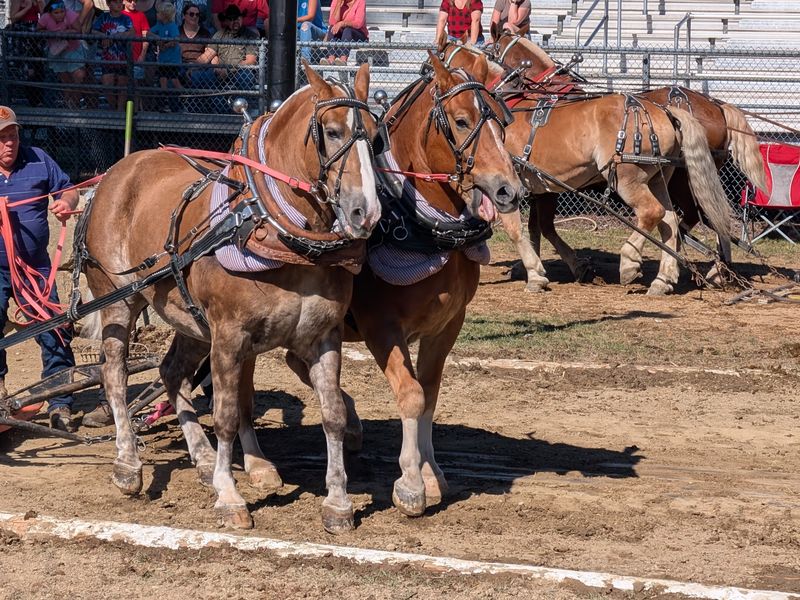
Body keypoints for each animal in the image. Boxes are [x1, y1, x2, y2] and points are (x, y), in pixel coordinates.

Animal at [81, 62, 383, 533]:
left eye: (376, 135)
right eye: (332, 132)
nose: (365, 213)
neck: (274, 229)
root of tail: (114, 173)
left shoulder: (323, 336)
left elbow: (332, 414)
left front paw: (337, 502)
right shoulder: (228, 336)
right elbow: (224, 415)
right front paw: (229, 496)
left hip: (188, 318)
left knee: (171, 373)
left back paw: (203, 459)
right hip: (117, 300)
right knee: (114, 373)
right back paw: (128, 464)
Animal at [286, 52, 523, 517]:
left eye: (501, 122)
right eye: (462, 121)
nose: (510, 190)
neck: (420, 226)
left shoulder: (447, 324)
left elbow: (429, 392)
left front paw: (432, 473)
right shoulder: (381, 326)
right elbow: (411, 394)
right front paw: (411, 484)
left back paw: (351, 423)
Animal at [441, 37, 732, 296]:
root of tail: (663, 110)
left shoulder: (508, 186)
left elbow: (518, 228)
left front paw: (535, 274)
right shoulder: (542, 187)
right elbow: (540, 227)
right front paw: (562, 266)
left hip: (630, 178)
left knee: (655, 213)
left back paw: (633, 262)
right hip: (659, 178)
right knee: (670, 222)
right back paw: (665, 279)